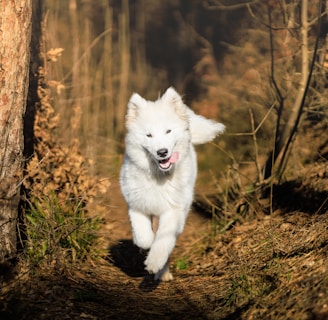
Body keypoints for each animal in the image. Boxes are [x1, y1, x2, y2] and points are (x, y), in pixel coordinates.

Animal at [120, 87, 226, 280]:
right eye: (149, 135)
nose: (162, 152)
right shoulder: (137, 206)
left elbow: (163, 241)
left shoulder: (173, 211)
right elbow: (143, 237)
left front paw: (154, 263)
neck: (159, 177)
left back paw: (163, 273)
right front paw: (145, 246)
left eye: (168, 131)